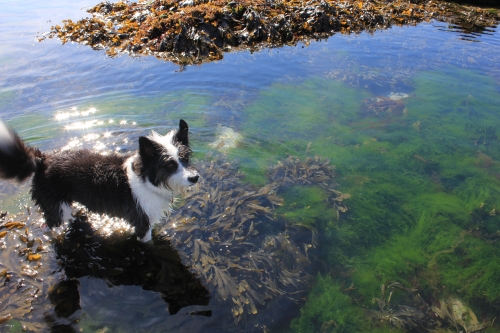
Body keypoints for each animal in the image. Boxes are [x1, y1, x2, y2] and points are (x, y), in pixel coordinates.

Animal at [0, 119, 198, 241]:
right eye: (169, 165)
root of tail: (42, 159)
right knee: (47, 225)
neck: (147, 180)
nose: (195, 178)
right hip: (55, 206)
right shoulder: (142, 222)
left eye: (185, 158)